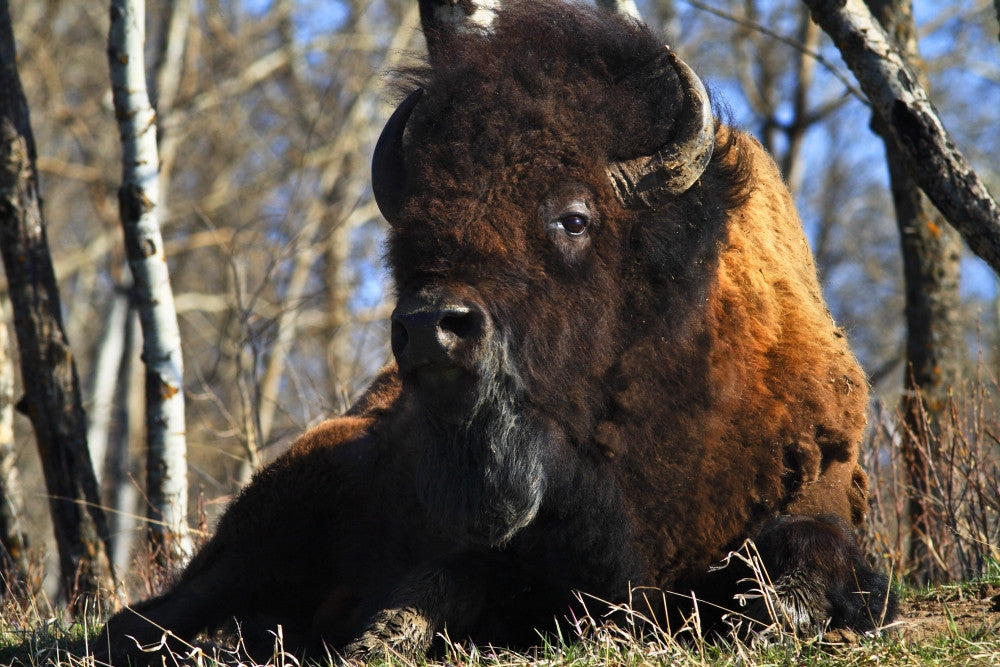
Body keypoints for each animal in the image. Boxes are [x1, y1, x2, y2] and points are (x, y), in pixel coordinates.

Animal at [97, 1, 896, 662]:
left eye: (574, 216)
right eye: (409, 230)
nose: (432, 328)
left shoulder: (819, 490)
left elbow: (808, 552)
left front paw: (778, 612)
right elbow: (439, 583)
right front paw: (378, 636)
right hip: (263, 526)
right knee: (147, 615)